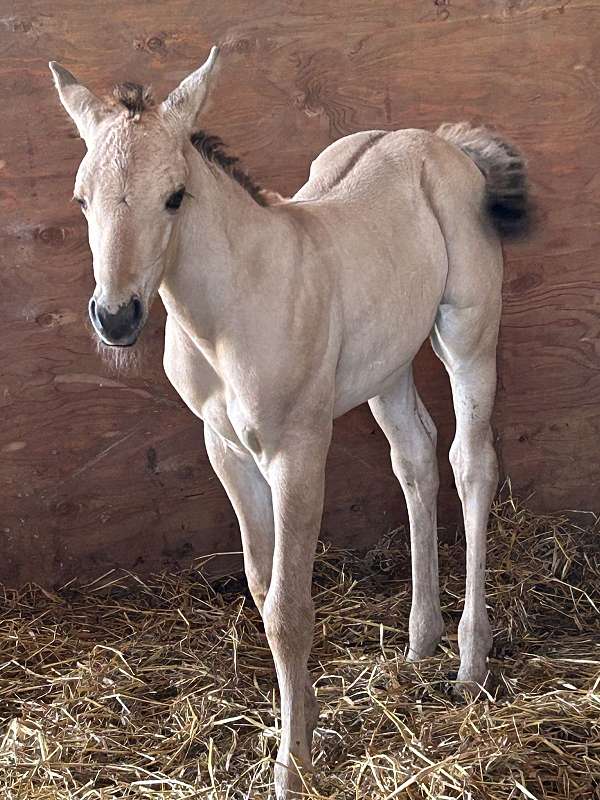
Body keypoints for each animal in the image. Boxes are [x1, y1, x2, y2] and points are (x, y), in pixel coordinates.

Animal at [50, 47, 529, 798]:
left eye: (175, 195)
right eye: (81, 198)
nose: (117, 317)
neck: (232, 307)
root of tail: (442, 143)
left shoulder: (296, 450)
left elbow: (286, 608)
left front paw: (292, 764)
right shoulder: (225, 449)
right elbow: (260, 582)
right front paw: (305, 724)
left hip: (468, 333)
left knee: (470, 465)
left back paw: (469, 663)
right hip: (386, 364)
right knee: (416, 459)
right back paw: (418, 642)